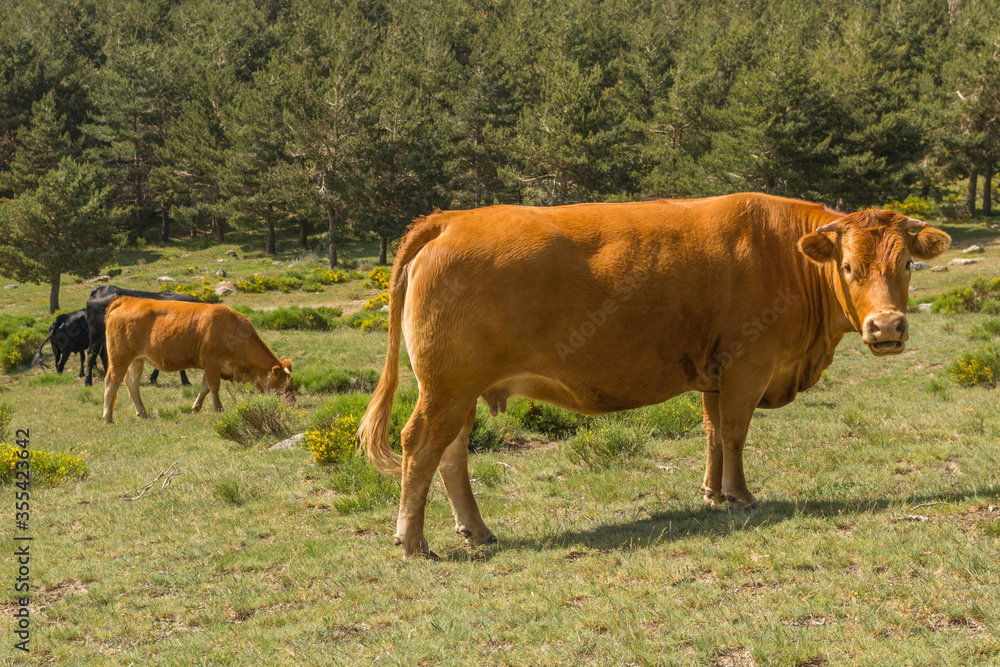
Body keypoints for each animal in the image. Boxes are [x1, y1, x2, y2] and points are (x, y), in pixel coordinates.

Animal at [101, 296, 294, 423]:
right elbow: (214, 387)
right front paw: (218, 408)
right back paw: (108, 417)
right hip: (119, 357)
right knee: (112, 382)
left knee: (132, 384)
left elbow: (205, 388)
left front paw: (195, 408)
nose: (292, 403)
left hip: (136, 360)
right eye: (284, 385)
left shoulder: (212, 366)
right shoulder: (212, 363)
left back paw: (142, 413)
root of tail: (127, 300)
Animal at [357, 193, 952, 558]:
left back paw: (477, 531)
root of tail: (452, 218)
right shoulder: (748, 365)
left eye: (907, 265)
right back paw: (414, 542)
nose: (886, 326)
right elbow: (734, 432)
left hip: (459, 390)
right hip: (446, 388)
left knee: (451, 453)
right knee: (420, 445)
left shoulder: (715, 373)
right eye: (848, 267)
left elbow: (713, 432)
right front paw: (740, 496)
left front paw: (712, 494)